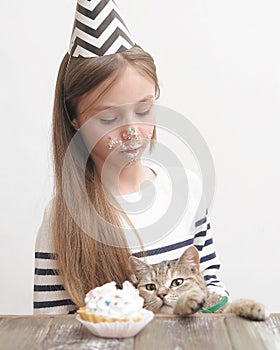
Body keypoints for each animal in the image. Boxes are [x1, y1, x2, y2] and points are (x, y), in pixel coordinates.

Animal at [129, 246, 270, 320]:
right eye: (150, 287)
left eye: (177, 282)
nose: (162, 294)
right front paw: (187, 301)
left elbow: (229, 308)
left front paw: (249, 304)